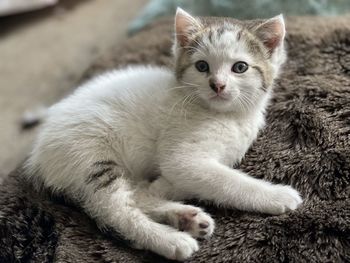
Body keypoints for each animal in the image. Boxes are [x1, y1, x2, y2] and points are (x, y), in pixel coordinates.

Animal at [26, 8, 302, 262]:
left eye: (240, 67)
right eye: (202, 66)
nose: (217, 85)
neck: (228, 116)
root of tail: (38, 153)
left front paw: (164, 188)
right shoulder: (182, 158)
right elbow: (227, 181)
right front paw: (276, 195)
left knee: (135, 195)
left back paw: (186, 218)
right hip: (90, 157)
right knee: (116, 211)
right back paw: (171, 239)